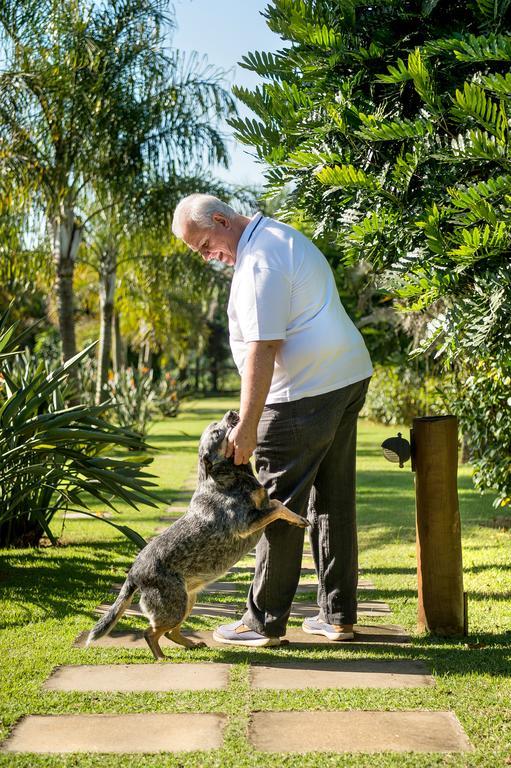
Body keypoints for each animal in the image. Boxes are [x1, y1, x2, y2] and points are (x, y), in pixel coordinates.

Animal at [87, 408, 308, 660]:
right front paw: (299, 519)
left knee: (170, 632)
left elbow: (278, 504)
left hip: (188, 600)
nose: (231, 411)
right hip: (174, 605)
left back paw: (191, 644)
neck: (227, 476)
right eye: (216, 432)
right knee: (150, 632)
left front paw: (298, 518)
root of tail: (133, 573)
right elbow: (278, 506)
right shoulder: (245, 524)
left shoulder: (261, 508)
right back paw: (161, 657)